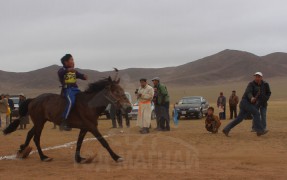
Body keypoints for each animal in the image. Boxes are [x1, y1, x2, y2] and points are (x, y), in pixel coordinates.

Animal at [3, 76, 133, 163]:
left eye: (122, 91)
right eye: (116, 92)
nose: (129, 107)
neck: (89, 104)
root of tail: (33, 99)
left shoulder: (85, 128)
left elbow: (79, 142)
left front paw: (79, 158)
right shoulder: (92, 127)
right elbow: (104, 142)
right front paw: (116, 157)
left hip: (40, 122)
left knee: (30, 134)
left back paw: (22, 150)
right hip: (39, 122)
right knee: (36, 138)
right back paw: (43, 157)